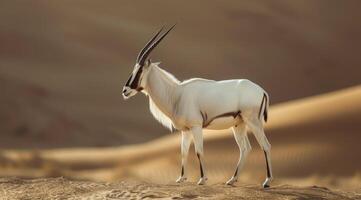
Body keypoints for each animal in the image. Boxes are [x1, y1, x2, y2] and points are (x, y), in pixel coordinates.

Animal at [122, 25, 272, 188]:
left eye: (140, 70)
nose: (125, 91)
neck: (176, 94)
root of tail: (262, 90)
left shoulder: (196, 127)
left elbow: (199, 151)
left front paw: (202, 179)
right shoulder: (185, 131)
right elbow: (183, 152)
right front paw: (181, 178)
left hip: (253, 122)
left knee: (265, 145)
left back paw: (266, 182)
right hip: (239, 125)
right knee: (245, 148)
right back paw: (232, 180)